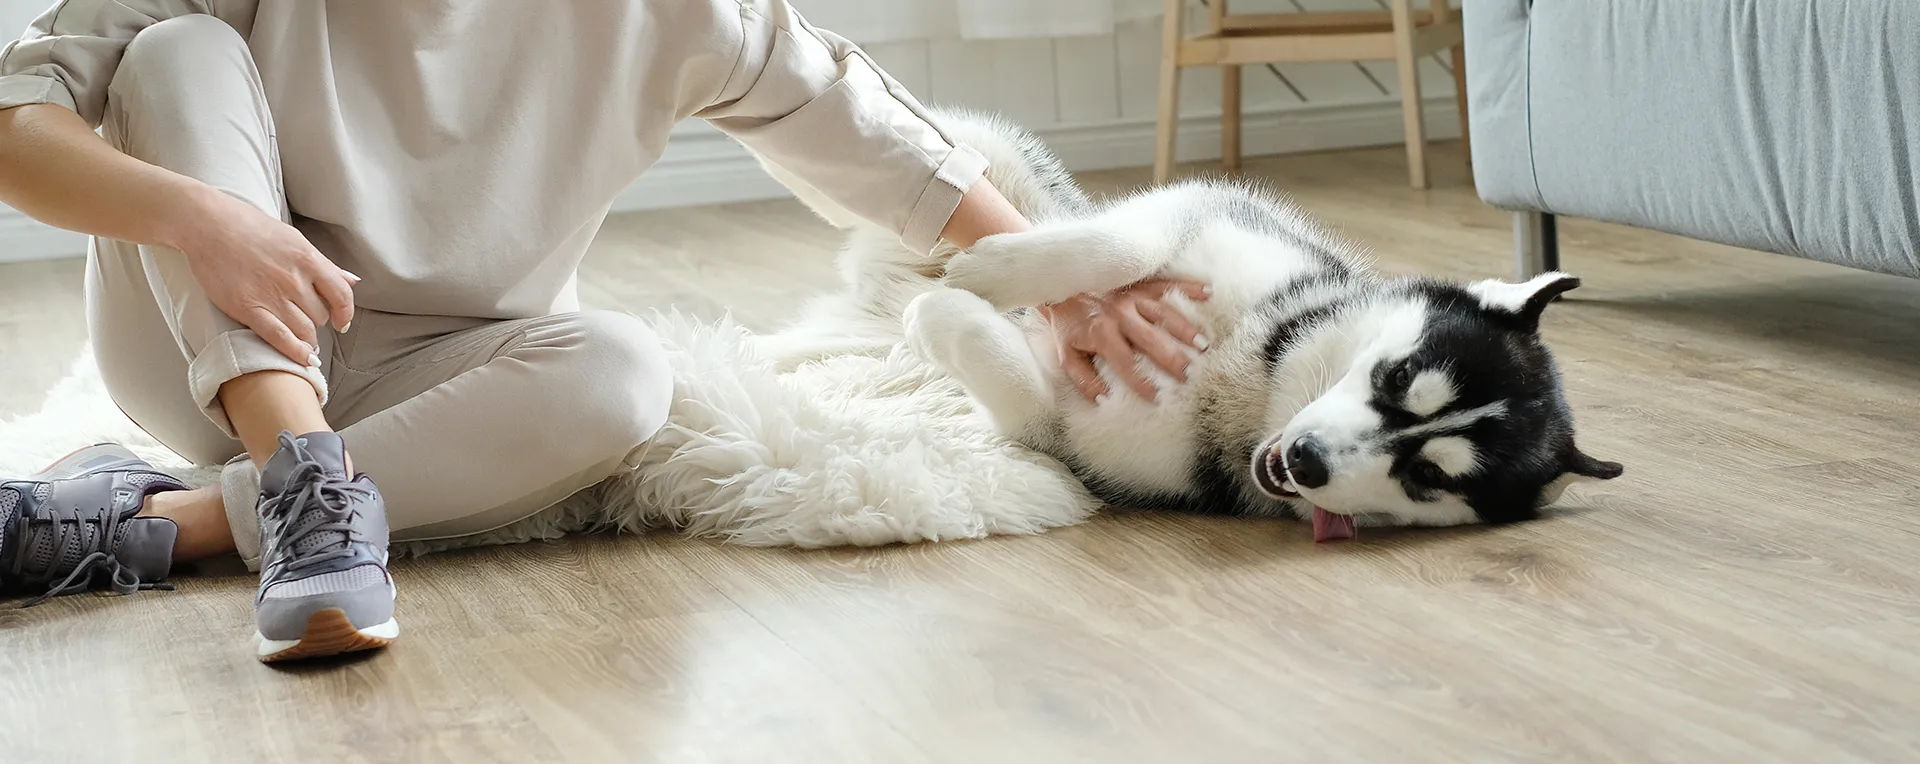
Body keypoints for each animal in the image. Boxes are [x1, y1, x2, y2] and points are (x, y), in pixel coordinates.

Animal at [752, 108, 1620, 537]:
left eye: (1429, 477)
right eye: (1398, 374)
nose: (1304, 461)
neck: (1257, 373)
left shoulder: (1054, 429)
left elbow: (975, 345)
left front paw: (951, 306)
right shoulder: (1197, 213)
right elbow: (1119, 244)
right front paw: (997, 274)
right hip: (963, 154)